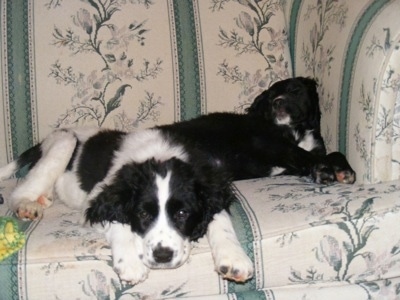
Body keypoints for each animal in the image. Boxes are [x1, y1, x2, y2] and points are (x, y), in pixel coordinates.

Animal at [0, 127, 253, 284]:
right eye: (142, 214)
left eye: (182, 213)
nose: (162, 256)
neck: (159, 156)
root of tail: (42, 142)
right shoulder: (98, 201)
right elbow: (118, 221)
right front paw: (130, 263)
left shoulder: (210, 188)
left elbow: (219, 218)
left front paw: (234, 258)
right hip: (65, 142)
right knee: (21, 190)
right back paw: (28, 205)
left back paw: (44, 198)